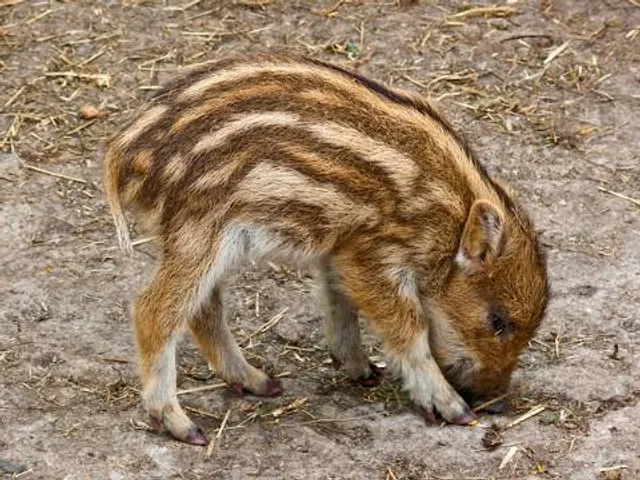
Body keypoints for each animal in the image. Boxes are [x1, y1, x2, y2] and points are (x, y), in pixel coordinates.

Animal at [102, 54, 549, 446]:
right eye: (498, 321)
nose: (496, 405)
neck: (448, 216)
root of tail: (123, 154)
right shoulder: (374, 255)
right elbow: (410, 329)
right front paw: (453, 409)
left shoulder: (342, 250)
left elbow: (340, 301)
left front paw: (362, 371)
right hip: (201, 232)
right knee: (154, 311)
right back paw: (183, 426)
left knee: (203, 310)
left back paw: (261, 383)